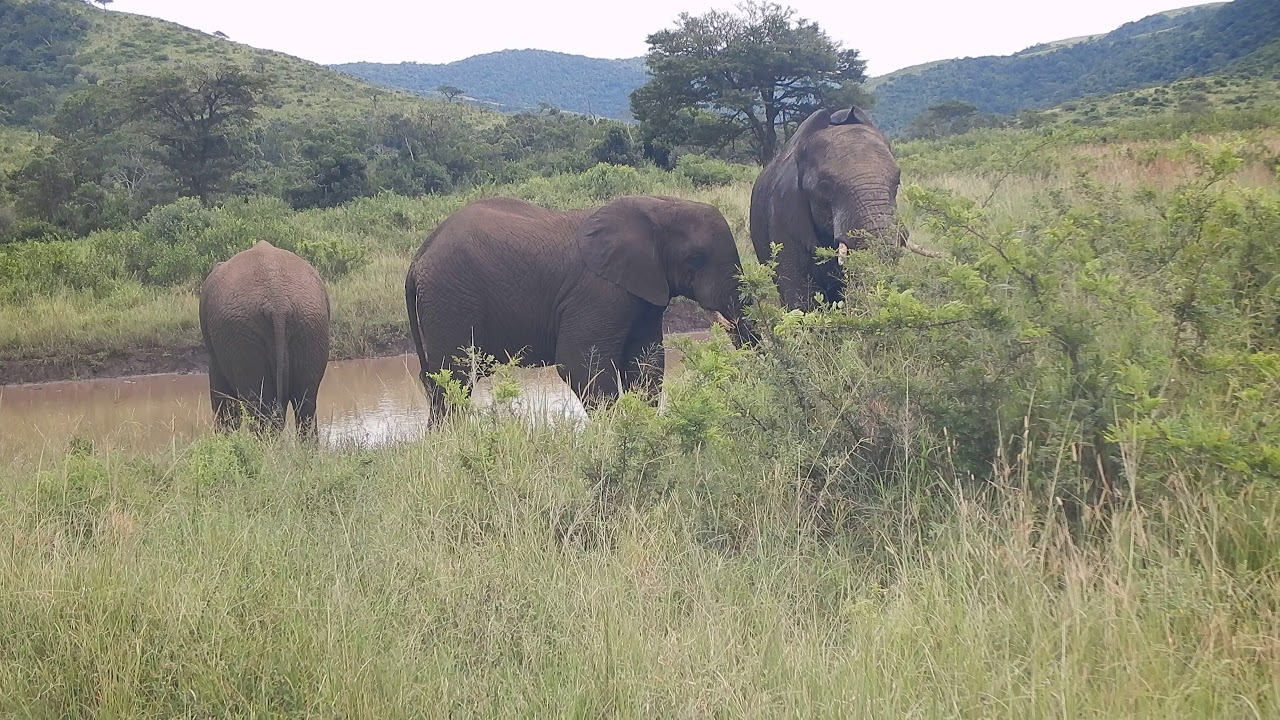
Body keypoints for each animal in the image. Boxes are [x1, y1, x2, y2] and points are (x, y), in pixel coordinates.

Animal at [199, 240, 332, 439]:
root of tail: (278, 302)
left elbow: (223, 396)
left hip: (242, 335)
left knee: (260, 405)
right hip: (310, 325)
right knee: (305, 399)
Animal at [404, 195, 756, 420]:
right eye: (696, 259)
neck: (659, 206)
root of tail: (419, 259)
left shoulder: (644, 293)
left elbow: (646, 363)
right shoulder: (598, 292)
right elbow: (578, 362)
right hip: (451, 297)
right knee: (455, 375)